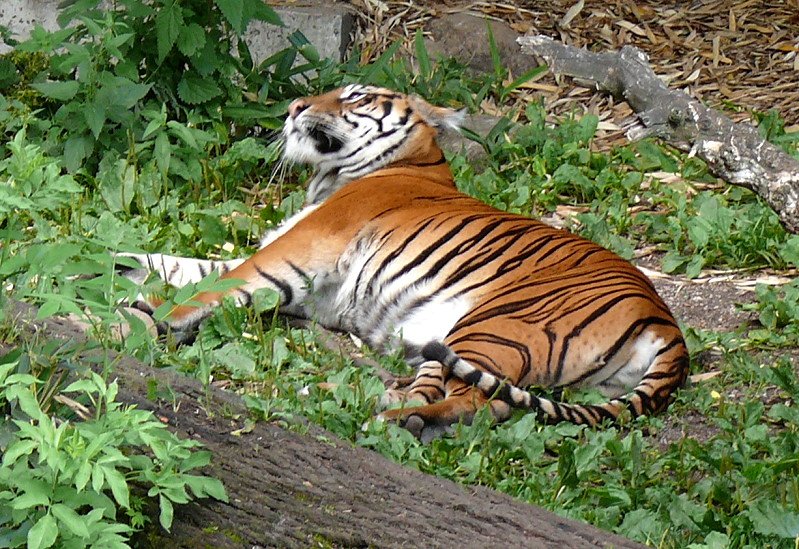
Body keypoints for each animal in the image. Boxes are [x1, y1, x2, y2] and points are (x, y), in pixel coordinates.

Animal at [119, 82, 688, 440]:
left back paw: (399, 420)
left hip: (495, 325)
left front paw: (144, 321)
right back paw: (367, 400)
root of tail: (665, 323)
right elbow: (178, 265)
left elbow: (216, 284)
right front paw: (122, 275)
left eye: (356, 95)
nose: (294, 106)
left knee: (472, 399)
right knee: (484, 401)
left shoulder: (303, 246)